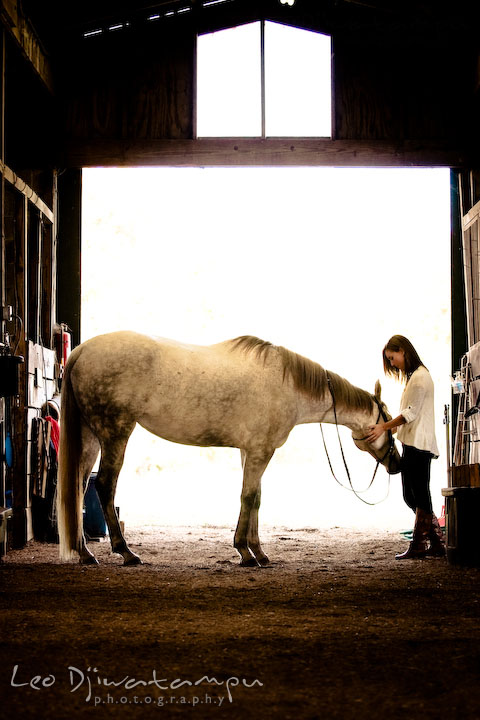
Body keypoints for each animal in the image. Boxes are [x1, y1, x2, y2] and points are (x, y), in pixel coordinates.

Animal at [57, 330, 402, 564]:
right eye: (389, 422)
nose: (397, 463)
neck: (288, 385)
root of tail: (81, 351)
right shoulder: (261, 452)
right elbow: (248, 497)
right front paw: (245, 552)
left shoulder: (250, 451)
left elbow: (256, 499)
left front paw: (258, 551)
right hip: (115, 433)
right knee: (104, 485)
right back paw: (126, 552)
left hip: (91, 436)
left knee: (78, 486)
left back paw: (85, 553)